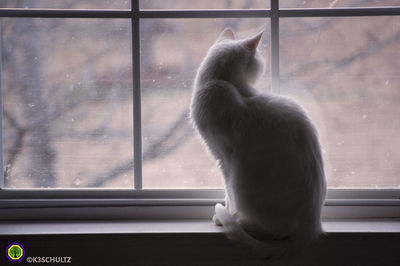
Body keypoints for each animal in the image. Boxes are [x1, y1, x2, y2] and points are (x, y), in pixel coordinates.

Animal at [190, 28, 324, 258]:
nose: (262, 67)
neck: (221, 81)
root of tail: (312, 227)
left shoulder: (224, 160)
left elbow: (228, 195)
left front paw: (227, 215)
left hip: (240, 178)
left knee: (274, 230)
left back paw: (240, 222)